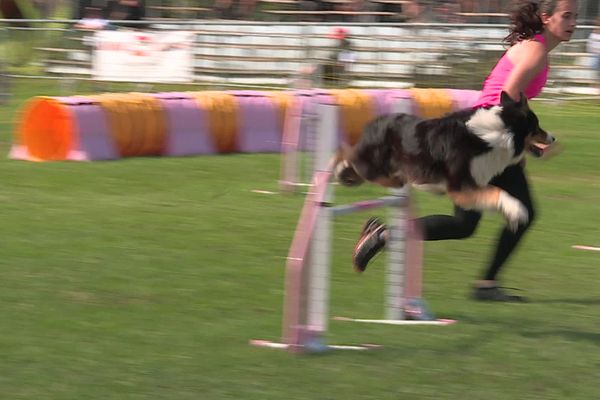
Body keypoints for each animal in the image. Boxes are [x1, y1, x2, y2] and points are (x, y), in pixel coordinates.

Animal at [332, 89, 552, 230]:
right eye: (537, 126)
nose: (553, 138)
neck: (500, 133)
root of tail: (371, 125)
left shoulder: (473, 184)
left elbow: (492, 194)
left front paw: (511, 214)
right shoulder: (459, 187)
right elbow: (496, 191)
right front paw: (518, 210)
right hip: (374, 164)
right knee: (348, 156)